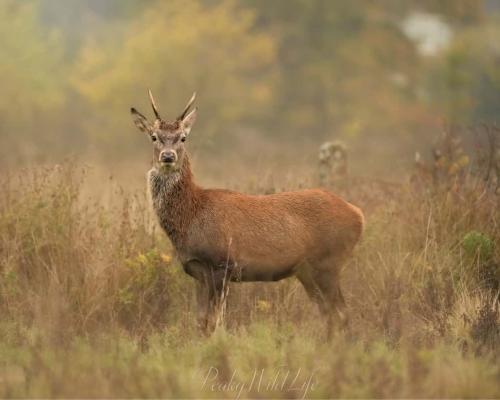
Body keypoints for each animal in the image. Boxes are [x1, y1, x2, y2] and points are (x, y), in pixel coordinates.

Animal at [129, 90, 364, 334]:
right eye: (154, 136)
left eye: (183, 137)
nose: (168, 156)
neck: (191, 217)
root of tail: (358, 214)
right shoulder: (198, 272)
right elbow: (201, 322)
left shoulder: (221, 264)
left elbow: (214, 323)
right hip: (308, 270)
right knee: (329, 314)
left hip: (328, 262)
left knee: (341, 313)